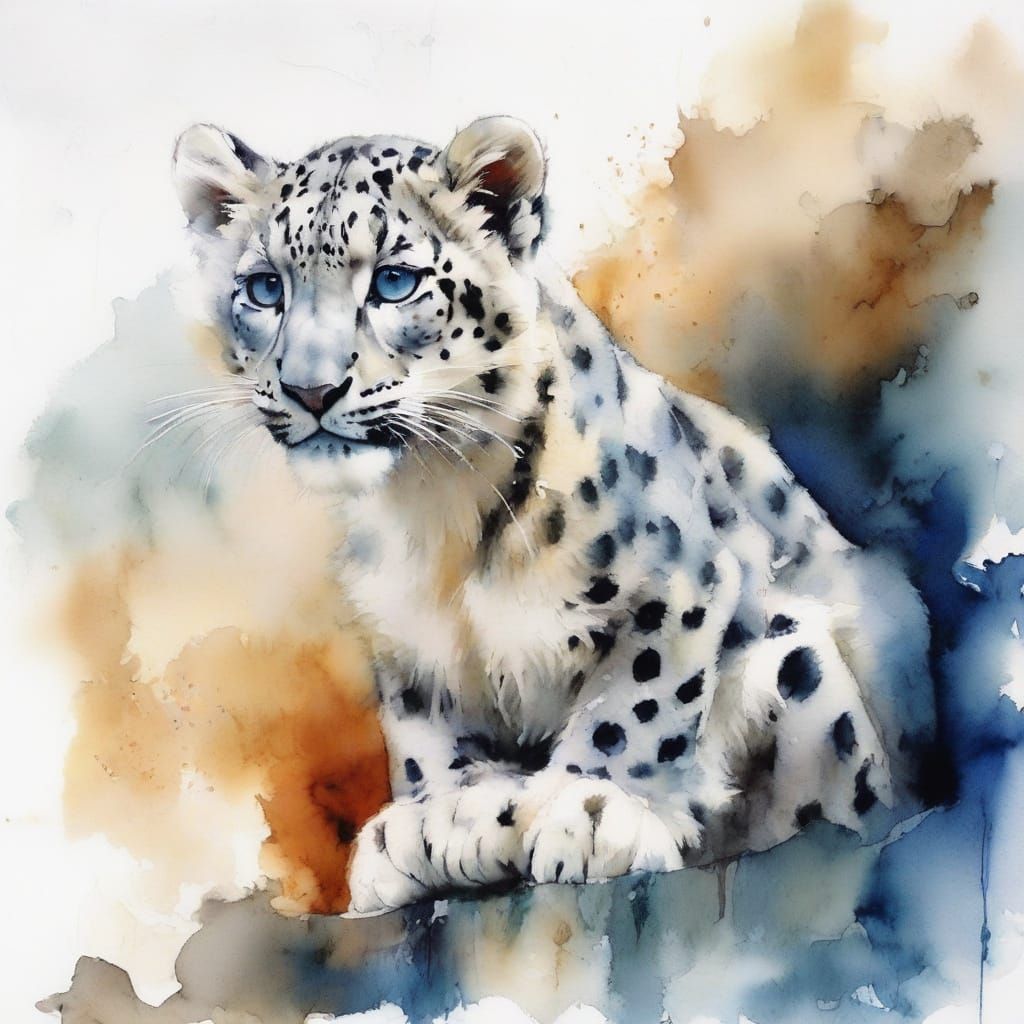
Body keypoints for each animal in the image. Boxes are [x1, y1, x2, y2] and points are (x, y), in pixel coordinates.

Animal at [172, 116, 937, 914]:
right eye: (264, 288)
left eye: (394, 281)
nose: (310, 389)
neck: (433, 507)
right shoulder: (408, 647)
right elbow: (426, 736)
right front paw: (441, 820)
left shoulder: (681, 582)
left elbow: (643, 698)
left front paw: (594, 809)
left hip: (805, 660)